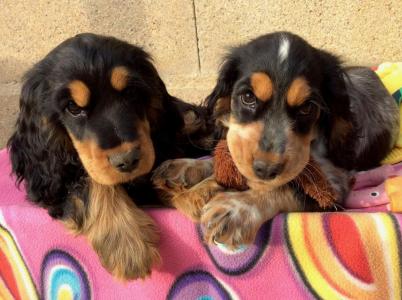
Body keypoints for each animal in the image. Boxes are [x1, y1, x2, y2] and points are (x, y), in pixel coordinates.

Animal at [7, 34, 214, 280]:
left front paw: (198, 192)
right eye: (73, 108)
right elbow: (93, 181)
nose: (128, 160)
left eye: (131, 93)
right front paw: (125, 242)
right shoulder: (53, 182)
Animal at [152, 31, 400, 250]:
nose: (265, 170)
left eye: (308, 107)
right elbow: (229, 158)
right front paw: (185, 170)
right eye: (248, 97)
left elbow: (285, 188)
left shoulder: (334, 184)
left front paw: (235, 209)